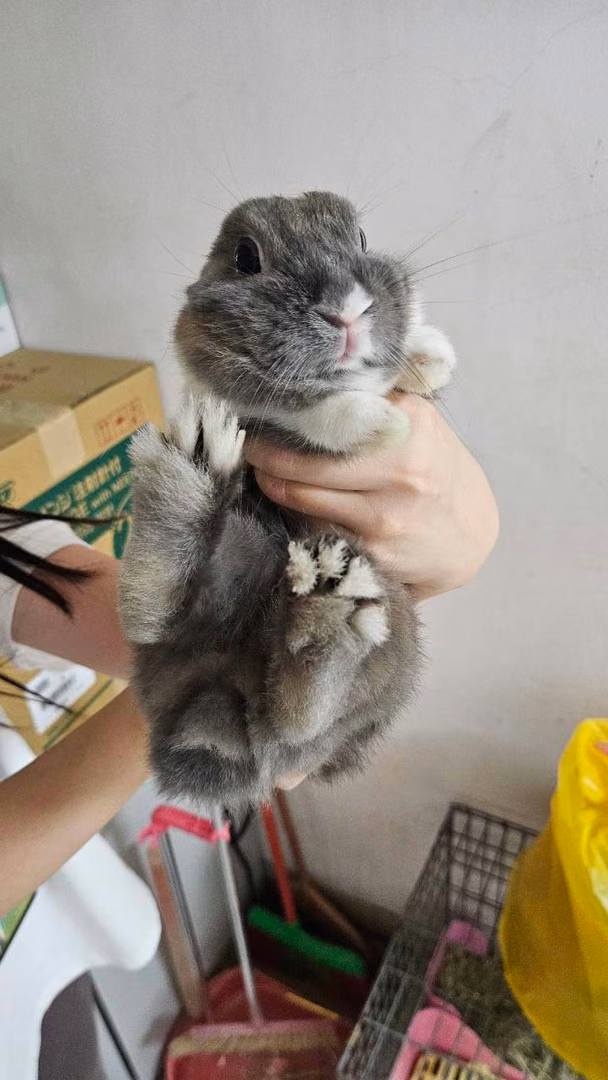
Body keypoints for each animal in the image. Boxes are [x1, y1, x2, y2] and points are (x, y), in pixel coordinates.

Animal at [120, 191, 457, 809]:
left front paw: (431, 355)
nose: (348, 310)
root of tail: (215, 707)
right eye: (245, 257)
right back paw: (195, 465)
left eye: (363, 238)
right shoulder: (249, 404)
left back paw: (326, 606)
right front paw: (381, 424)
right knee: (155, 613)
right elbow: (302, 412)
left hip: (389, 628)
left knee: (297, 720)